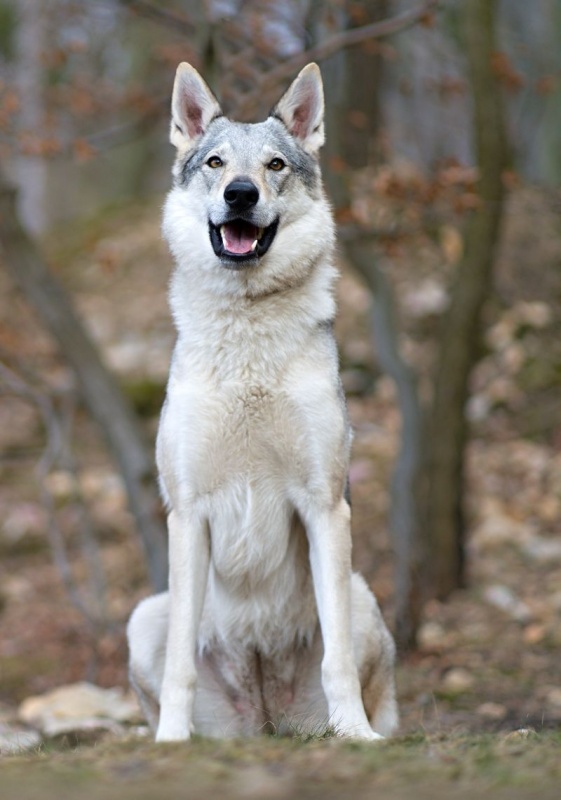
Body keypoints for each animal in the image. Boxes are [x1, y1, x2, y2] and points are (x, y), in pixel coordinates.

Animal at [127, 59, 398, 740]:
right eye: (216, 163)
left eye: (274, 164)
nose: (241, 195)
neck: (248, 335)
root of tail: (266, 722)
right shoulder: (188, 514)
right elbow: (180, 666)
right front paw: (172, 741)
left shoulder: (325, 507)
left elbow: (337, 661)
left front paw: (356, 737)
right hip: (145, 614)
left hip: (361, 593)